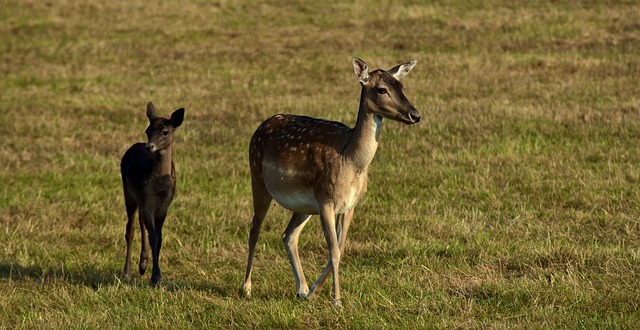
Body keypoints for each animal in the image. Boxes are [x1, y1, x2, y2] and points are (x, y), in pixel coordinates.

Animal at [120, 102, 185, 284]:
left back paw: (143, 263)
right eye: (148, 131)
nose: (149, 147)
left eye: (165, 132)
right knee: (130, 228)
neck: (159, 187)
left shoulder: (164, 204)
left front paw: (153, 272)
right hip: (128, 192)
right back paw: (127, 271)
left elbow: (159, 237)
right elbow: (153, 236)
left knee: (141, 222)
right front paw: (155, 276)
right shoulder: (147, 199)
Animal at [240, 57, 420, 306]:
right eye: (382, 89)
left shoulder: (350, 205)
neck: (351, 162)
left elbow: (341, 248)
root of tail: (260, 127)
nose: (415, 115)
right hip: (258, 178)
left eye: (401, 86)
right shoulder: (326, 199)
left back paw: (302, 289)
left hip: (305, 205)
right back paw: (246, 288)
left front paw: (315, 292)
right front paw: (337, 300)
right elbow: (334, 250)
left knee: (288, 235)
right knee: (255, 230)